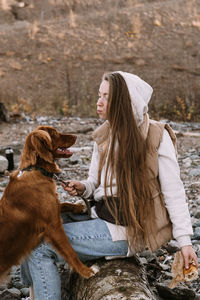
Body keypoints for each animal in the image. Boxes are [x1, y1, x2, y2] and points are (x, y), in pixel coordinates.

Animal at [0, 126, 97, 282]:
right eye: (55, 133)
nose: (76, 136)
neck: (38, 170)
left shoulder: (53, 207)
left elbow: (64, 203)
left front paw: (80, 206)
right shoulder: (54, 226)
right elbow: (70, 252)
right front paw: (86, 271)